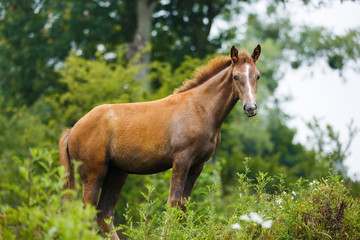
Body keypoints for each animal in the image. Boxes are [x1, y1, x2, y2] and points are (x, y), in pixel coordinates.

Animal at [59, 44, 262, 239]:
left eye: (257, 76)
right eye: (235, 76)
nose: (250, 108)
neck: (200, 108)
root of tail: (73, 129)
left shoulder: (198, 165)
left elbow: (183, 206)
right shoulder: (181, 160)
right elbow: (173, 202)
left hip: (116, 173)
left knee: (104, 215)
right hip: (93, 172)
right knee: (86, 214)